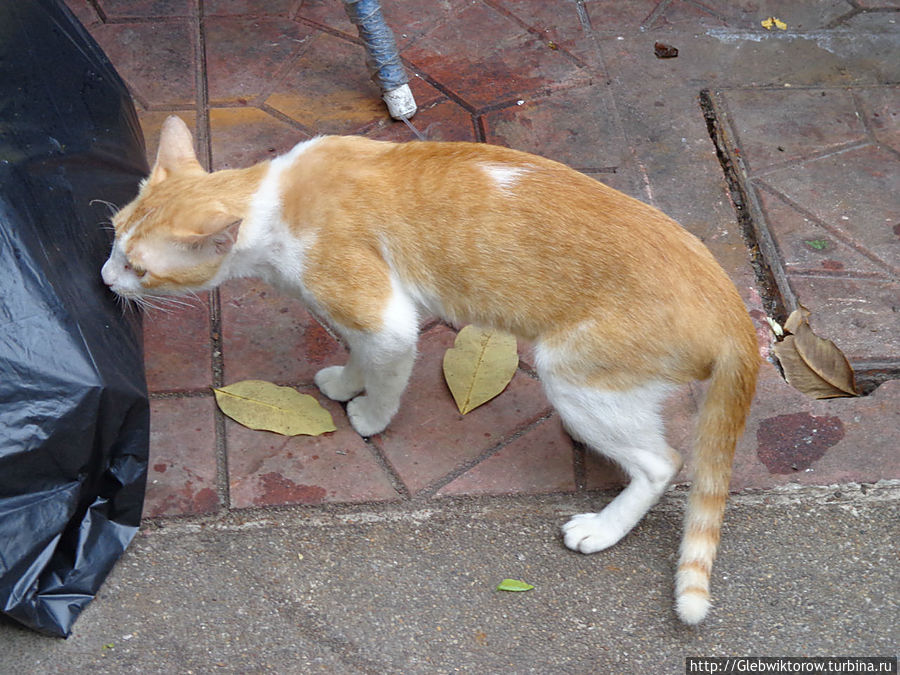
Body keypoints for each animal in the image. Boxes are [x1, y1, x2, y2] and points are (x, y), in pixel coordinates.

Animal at [103, 115, 760, 624]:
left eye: (140, 269)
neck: (274, 201)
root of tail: (734, 310)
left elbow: (384, 368)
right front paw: (346, 380)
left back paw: (603, 526)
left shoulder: (386, 318)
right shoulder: (364, 315)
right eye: (112, 239)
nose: (106, 278)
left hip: (570, 374)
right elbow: (355, 351)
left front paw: (368, 413)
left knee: (662, 463)